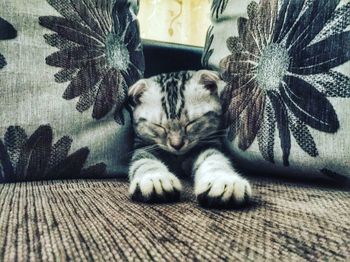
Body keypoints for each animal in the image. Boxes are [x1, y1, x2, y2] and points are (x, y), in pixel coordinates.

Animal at [129, 70, 252, 208]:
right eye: (159, 126)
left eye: (191, 123)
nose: (176, 145)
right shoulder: (143, 146)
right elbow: (145, 162)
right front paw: (155, 178)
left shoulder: (209, 144)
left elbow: (214, 159)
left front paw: (223, 180)